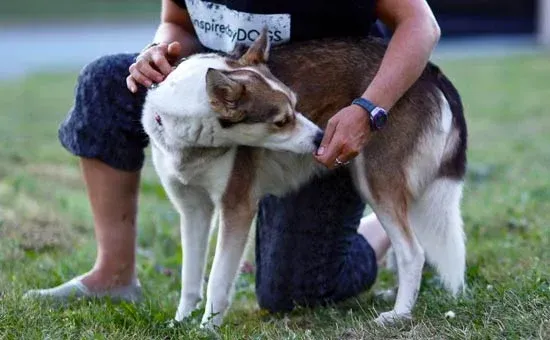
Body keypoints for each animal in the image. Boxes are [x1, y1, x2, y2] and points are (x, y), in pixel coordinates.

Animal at [141, 29, 466, 330]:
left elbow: (218, 281)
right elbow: (190, 279)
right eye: (282, 121)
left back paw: (398, 314)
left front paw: (208, 327)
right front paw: (181, 322)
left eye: (296, 106)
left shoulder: (237, 208)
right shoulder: (193, 211)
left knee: (413, 252)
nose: (322, 138)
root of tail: (430, 71)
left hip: (374, 184)